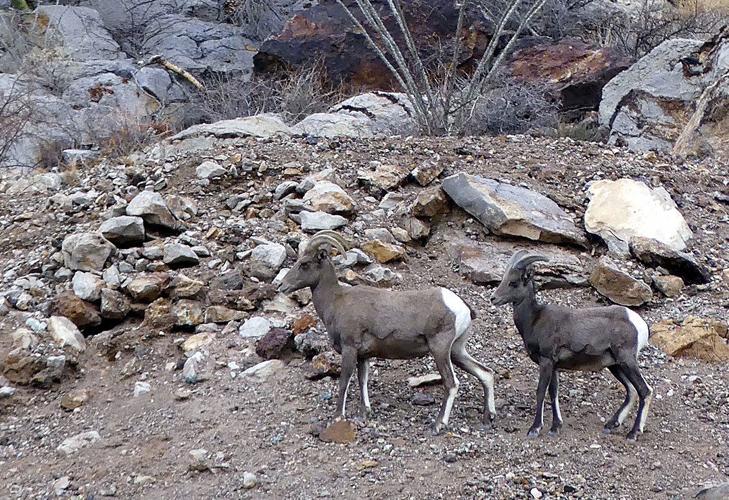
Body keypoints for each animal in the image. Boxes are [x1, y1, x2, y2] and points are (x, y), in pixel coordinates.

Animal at [277, 230, 496, 433]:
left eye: (304, 264)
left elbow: (344, 382)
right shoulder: (363, 356)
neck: (336, 301)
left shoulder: (349, 349)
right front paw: (365, 412)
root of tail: (461, 306)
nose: (281, 285)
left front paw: (338, 417)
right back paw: (488, 417)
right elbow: (362, 380)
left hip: (440, 350)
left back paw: (438, 425)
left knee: (451, 383)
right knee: (486, 373)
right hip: (457, 351)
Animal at [490, 250, 652, 441]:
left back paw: (633, 433)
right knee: (632, 391)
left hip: (626, 361)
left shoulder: (546, 362)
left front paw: (535, 429)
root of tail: (639, 324)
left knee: (644, 390)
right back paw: (610, 425)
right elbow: (553, 392)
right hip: (615, 365)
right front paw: (555, 427)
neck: (534, 319)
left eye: (513, 282)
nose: (493, 298)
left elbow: (540, 391)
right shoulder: (553, 366)